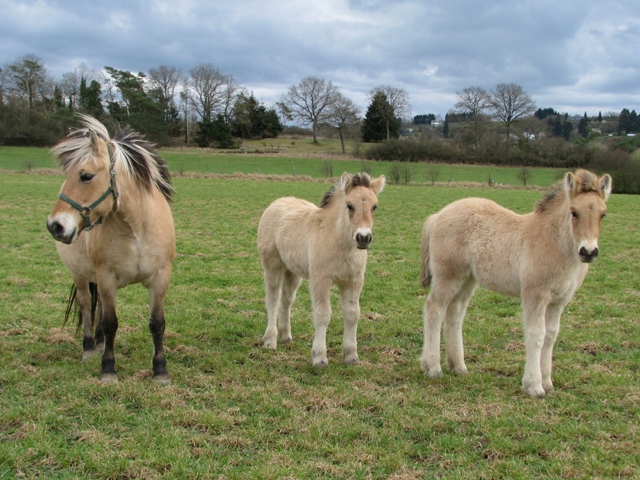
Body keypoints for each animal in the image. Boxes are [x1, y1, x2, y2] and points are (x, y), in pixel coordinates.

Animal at [45, 114, 176, 384]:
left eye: (86, 176)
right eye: (67, 176)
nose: (55, 226)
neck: (135, 229)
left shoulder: (160, 277)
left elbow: (157, 323)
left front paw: (160, 370)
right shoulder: (106, 278)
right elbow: (110, 322)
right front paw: (108, 368)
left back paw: (99, 343)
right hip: (80, 274)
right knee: (87, 305)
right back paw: (89, 347)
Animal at [256, 174, 384, 366]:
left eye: (374, 206)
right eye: (349, 206)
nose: (363, 238)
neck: (339, 242)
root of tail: (276, 203)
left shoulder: (354, 281)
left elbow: (353, 313)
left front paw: (351, 356)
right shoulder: (321, 279)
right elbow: (323, 314)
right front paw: (319, 357)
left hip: (292, 270)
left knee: (287, 300)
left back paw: (286, 335)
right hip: (273, 265)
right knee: (273, 300)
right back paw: (270, 340)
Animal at [420, 169, 608, 398]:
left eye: (603, 214)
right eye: (574, 212)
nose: (588, 252)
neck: (554, 243)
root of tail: (437, 216)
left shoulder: (559, 301)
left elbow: (551, 336)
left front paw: (547, 382)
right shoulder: (535, 295)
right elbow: (536, 334)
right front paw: (534, 385)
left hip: (467, 279)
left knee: (454, 313)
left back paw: (458, 366)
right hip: (448, 275)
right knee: (434, 308)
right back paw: (433, 367)